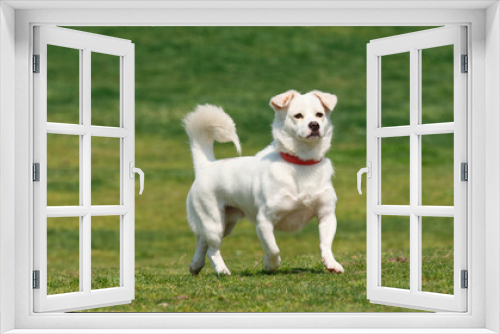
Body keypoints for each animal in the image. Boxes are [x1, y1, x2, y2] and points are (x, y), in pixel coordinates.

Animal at [184, 90, 344, 276]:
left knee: (202, 241)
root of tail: (206, 166)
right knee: (212, 249)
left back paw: (195, 265)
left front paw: (331, 264)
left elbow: (325, 244)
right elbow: (273, 248)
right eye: (298, 116)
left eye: (320, 114)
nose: (314, 125)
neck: (302, 163)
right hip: (214, 222)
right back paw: (222, 270)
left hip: (226, 224)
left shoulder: (327, 215)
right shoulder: (264, 221)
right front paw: (270, 264)